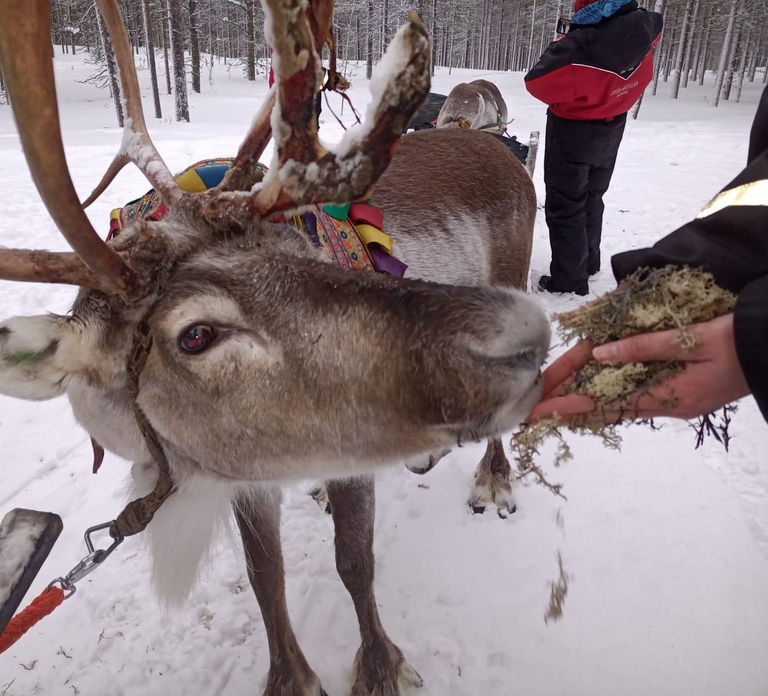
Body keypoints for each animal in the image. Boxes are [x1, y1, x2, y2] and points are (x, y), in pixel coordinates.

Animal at [0, 0, 547, 694]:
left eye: (300, 251)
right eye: (196, 334)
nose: (513, 338)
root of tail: (486, 139)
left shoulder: (348, 450)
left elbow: (354, 562)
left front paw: (380, 669)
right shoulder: (246, 471)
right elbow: (266, 576)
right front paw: (291, 678)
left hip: (513, 272)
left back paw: (493, 481)